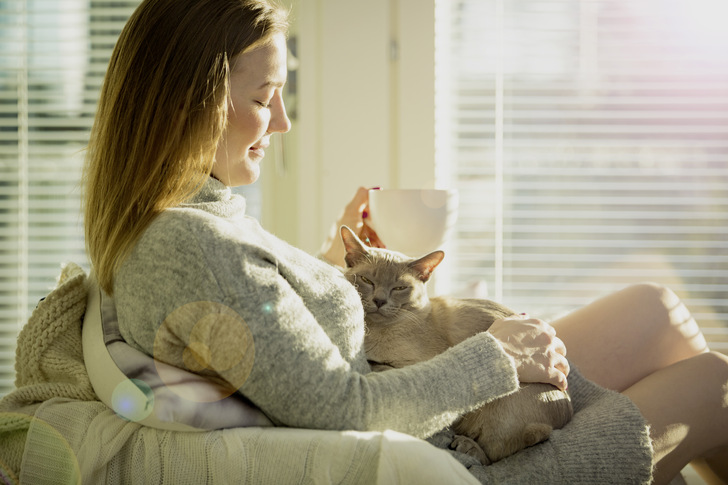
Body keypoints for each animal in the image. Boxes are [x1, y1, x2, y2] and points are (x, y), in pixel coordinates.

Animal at [342, 225, 576, 464]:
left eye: (399, 288)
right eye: (367, 280)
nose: (379, 301)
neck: (372, 331)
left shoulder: (412, 363)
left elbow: (380, 366)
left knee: (495, 453)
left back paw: (467, 445)